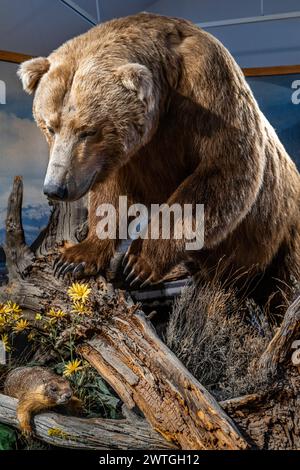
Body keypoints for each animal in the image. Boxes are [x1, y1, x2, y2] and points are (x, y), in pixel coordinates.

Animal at [18, 11, 300, 308]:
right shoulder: (129, 155)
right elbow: (112, 197)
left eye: (88, 130)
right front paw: (76, 258)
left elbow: (220, 173)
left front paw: (138, 262)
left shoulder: (209, 91)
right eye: (50, 126)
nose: (55, 188)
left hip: (283, 230)